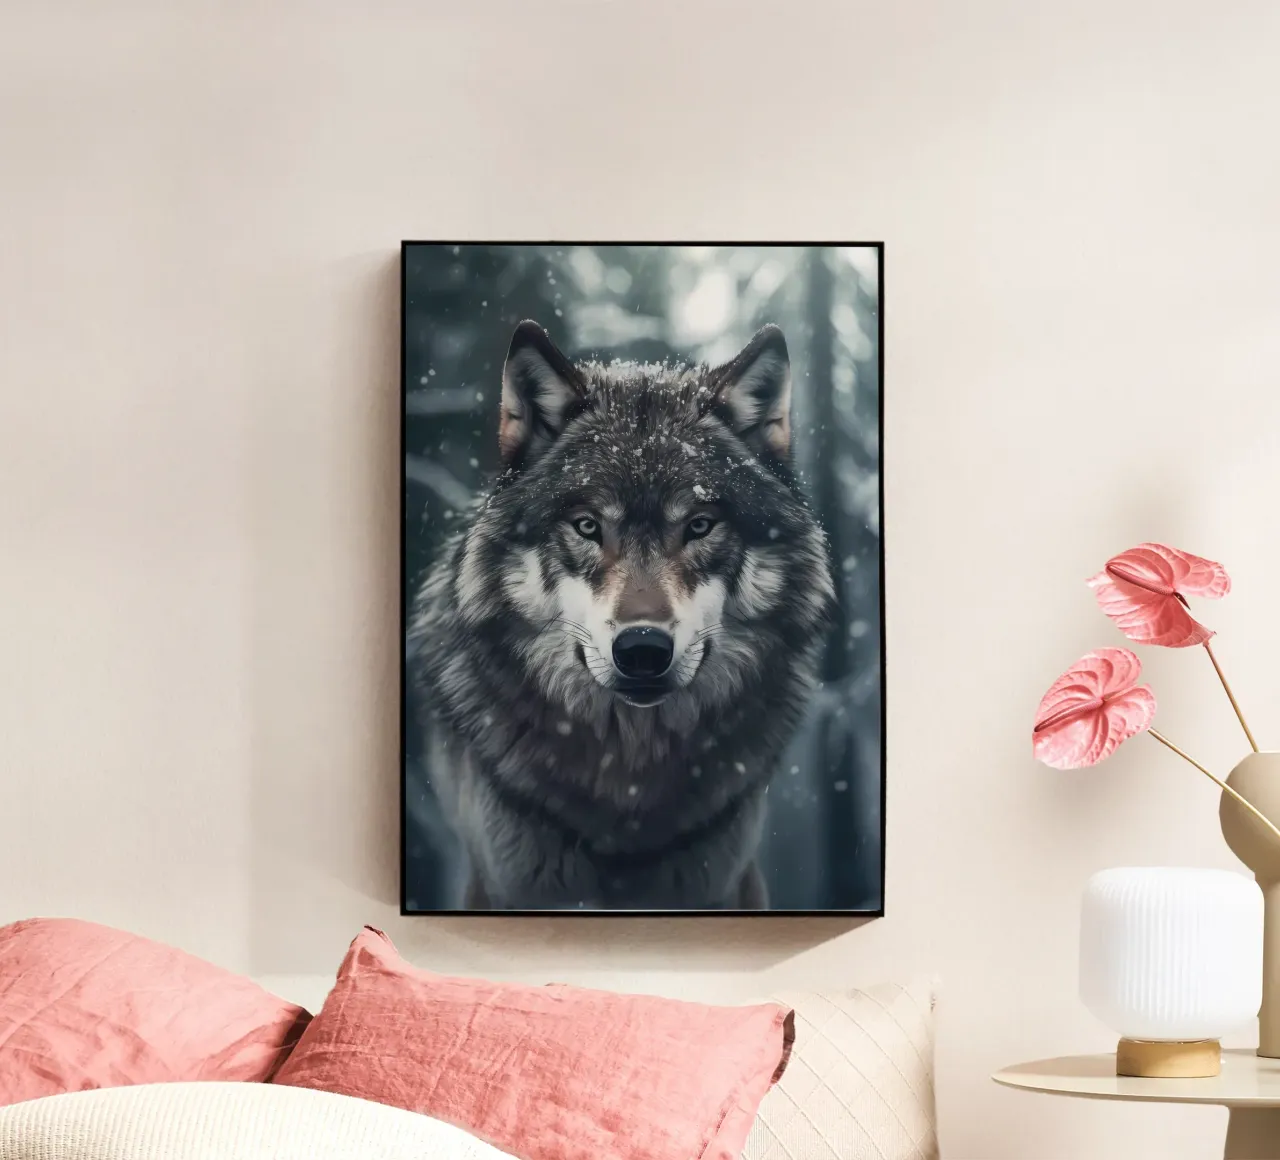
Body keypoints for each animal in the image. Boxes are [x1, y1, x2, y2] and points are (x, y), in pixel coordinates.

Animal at [407, 319, 836, 910]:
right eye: (588, 526)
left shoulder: (725, 881)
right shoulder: (503, 882)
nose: (643, 650)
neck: (629, 782)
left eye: (699, 526)